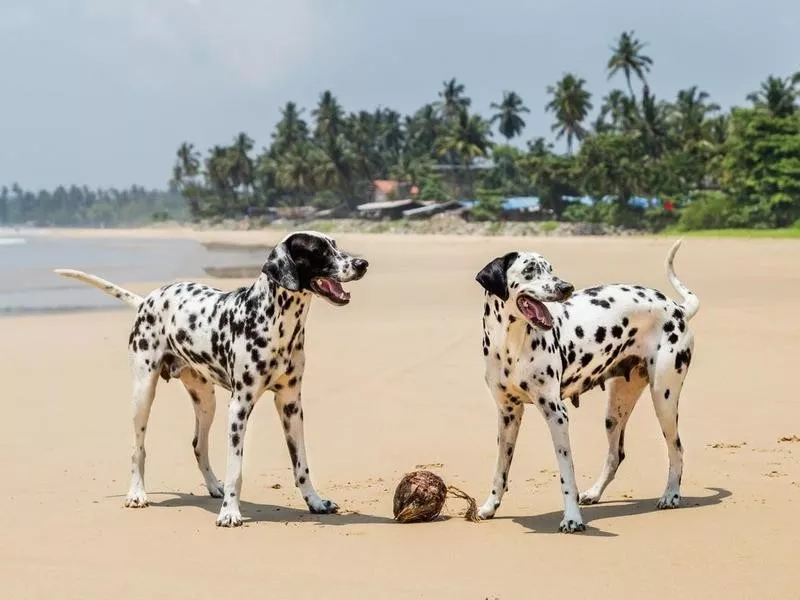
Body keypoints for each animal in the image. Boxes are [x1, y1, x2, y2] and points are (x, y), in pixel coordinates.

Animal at [56, 232, 368, 528]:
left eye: (334, 244)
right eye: (319, 250)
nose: (362, 263)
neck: (276, 323)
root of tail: (147, 300)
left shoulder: (290, 405)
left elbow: (301, 464)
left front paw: (315, 502)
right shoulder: (239, 407)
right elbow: (235, 470)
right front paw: (230, 512)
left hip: (206, 402)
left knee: (198, 444)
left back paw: (213, 486)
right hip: (144, 394)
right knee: (138, 449)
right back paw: (137, 493)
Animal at [476, 241, 700, 532]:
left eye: (550, 268)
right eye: (530, 269)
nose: (566, 287)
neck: (511, 346)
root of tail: (676, 307)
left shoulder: (556, 415)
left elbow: (566, 475)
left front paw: (572, 519)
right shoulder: (507, 415)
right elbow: (500, 470)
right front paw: (490, 506)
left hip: (664, 399)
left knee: (676, 449)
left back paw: (671, 494)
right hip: (615, 411)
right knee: (616, 455)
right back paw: (594, 492)